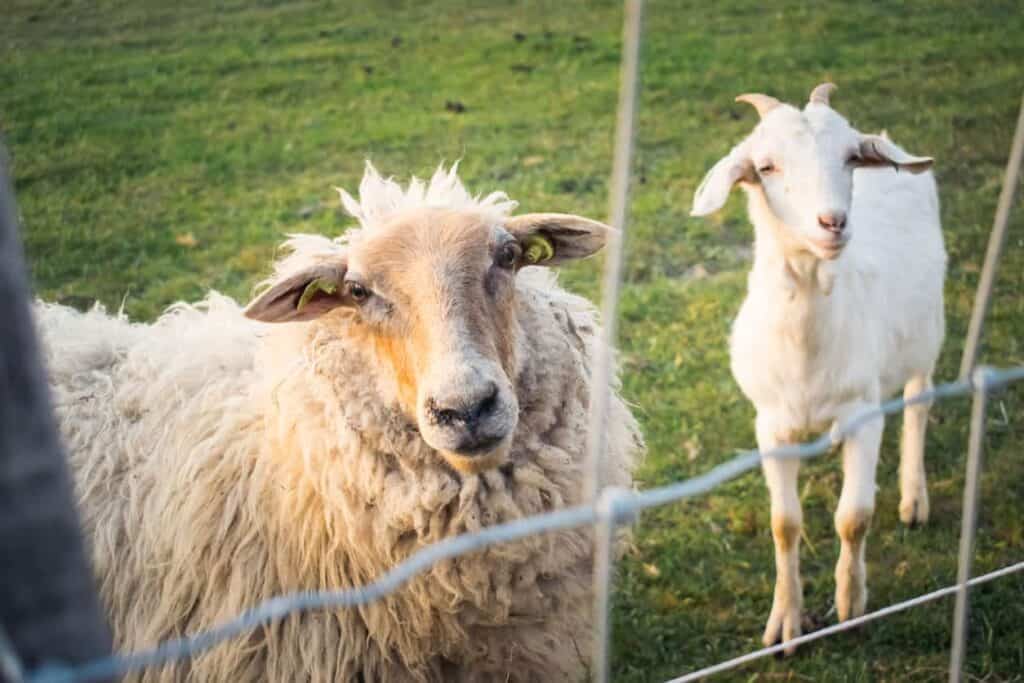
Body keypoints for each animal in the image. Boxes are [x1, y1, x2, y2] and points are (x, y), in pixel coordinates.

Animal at [692, 83, 946, 651]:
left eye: (851, 157)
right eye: (765, 166)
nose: (833, 223)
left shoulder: (863, 414)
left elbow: (854, 517)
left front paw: (851, 603)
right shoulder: (770, 426)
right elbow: (784, 523)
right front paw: (785, 623)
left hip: (926, 335)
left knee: (918, 403)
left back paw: (914, 499)